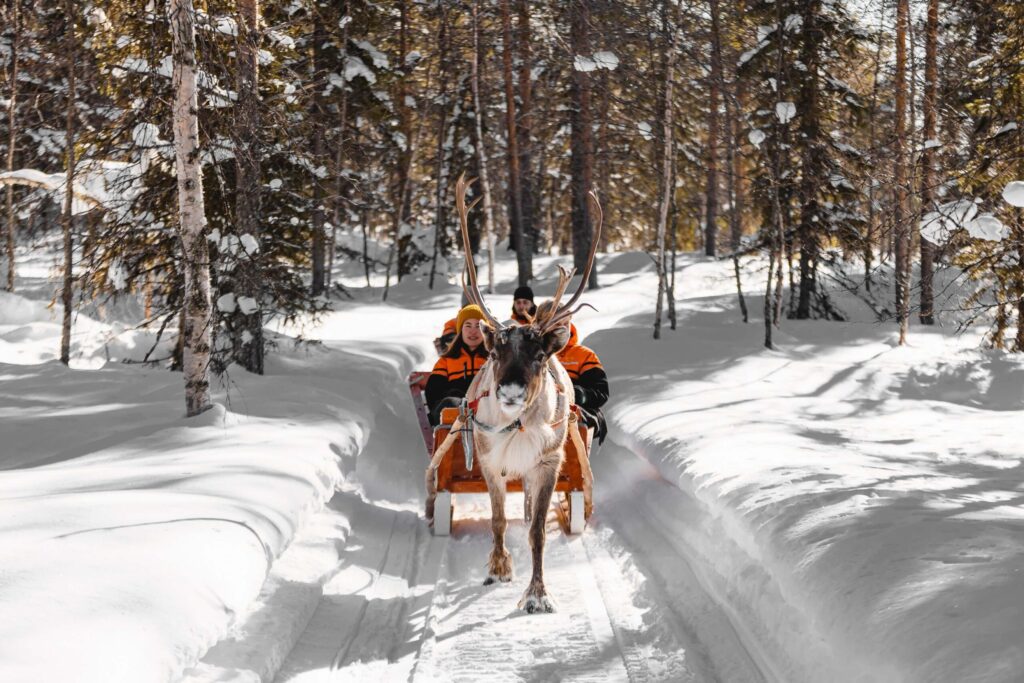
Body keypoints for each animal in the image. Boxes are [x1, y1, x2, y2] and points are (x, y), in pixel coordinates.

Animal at [426, 172, 602, 613]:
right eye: (495, 352)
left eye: (540, 355)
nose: (508, 390)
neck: (518, 425)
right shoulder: (489, 462)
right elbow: (498, 519)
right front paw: (498, 569)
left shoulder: (547, 464)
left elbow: (537, 531)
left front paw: (538, 594)